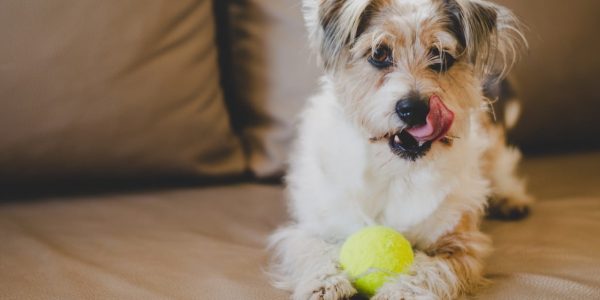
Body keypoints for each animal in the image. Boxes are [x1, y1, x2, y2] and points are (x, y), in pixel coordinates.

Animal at [270, 1, 532, 298]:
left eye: (441, 57)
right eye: (379, 54)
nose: (414, 109)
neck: (396, 171)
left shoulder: (461, 244)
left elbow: (429, 269)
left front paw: (399, 291)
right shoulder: (309, 229)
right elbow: (311, 250)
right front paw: (324, 283)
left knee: (502, 167)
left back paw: (511, 198)